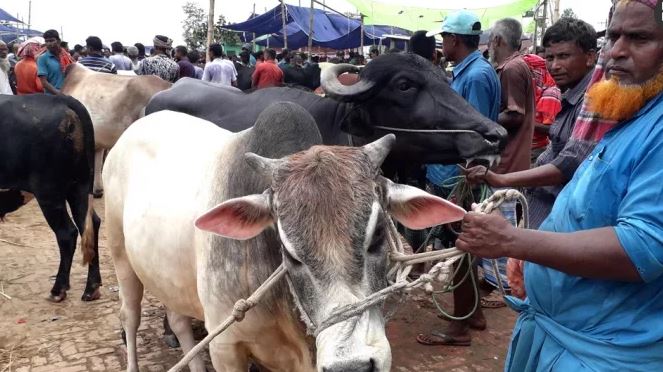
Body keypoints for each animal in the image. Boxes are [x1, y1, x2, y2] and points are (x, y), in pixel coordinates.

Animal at [0, 95, 101, 302]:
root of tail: (60, 98)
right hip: (79, 187)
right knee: (90, 224)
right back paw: (91, 288)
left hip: (49, 193)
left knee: (67, 233)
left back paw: (58, 289)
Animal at [105, 102, 466, 372]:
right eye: (290, 254)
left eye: (377, 235)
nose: (353, 365)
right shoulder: (226, 348)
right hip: (121, 255)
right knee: (129, 316)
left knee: (178, 321)